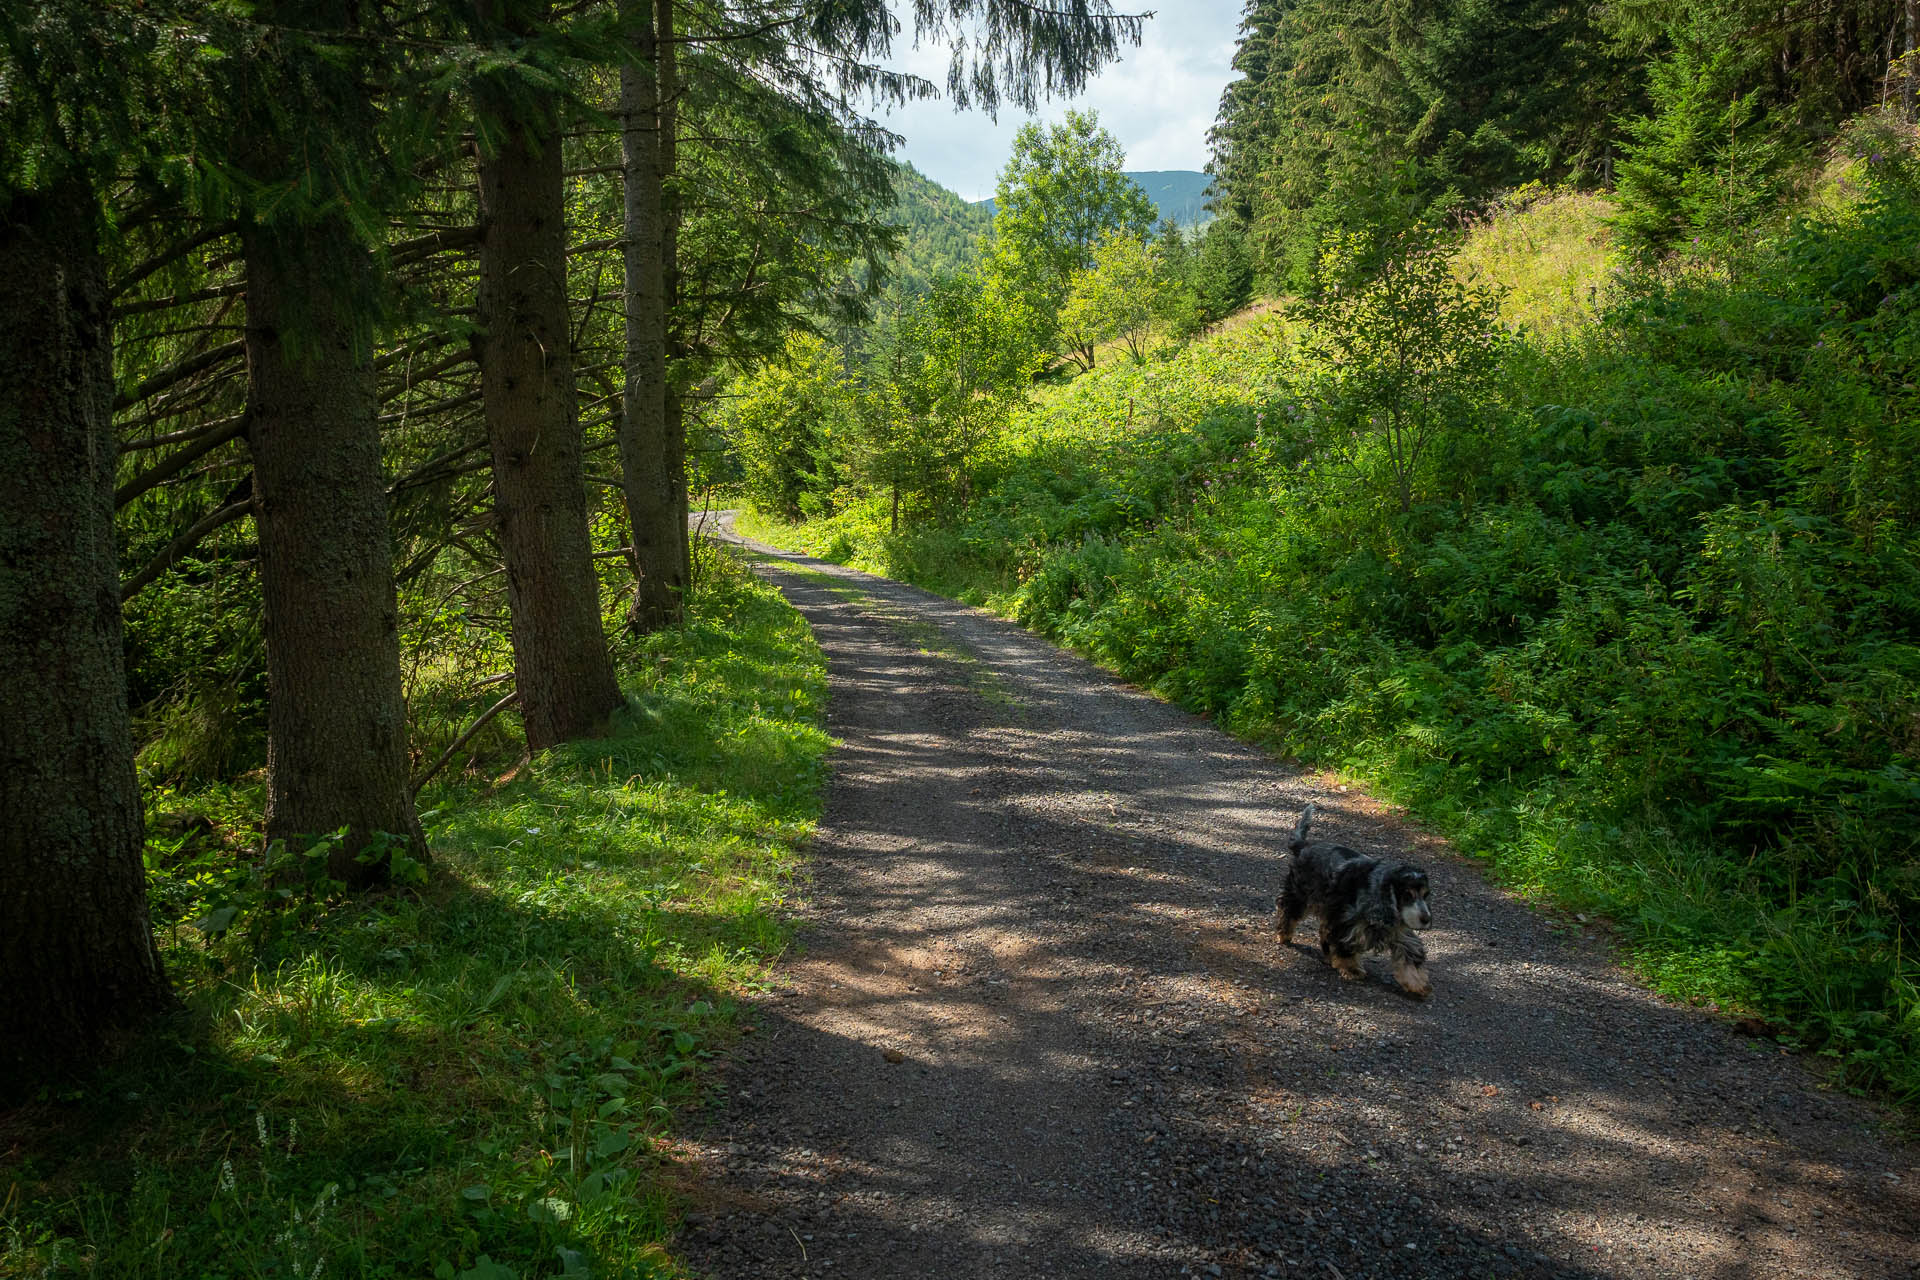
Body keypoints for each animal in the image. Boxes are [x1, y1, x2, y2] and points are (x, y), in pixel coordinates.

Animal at [1267, 805, 1436, 997]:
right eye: (1407, 895)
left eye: (1426, 895)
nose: (1426, 919)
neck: (1377, 888)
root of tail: (1304, 846)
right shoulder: (1346, 923)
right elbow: (1345, 946)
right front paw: (1352, 970)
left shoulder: (1398, 931)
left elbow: (1411, 954)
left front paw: (1418, 984)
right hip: (1300, 894)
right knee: (1288, 911)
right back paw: (1284, 935)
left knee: (1322, 929)